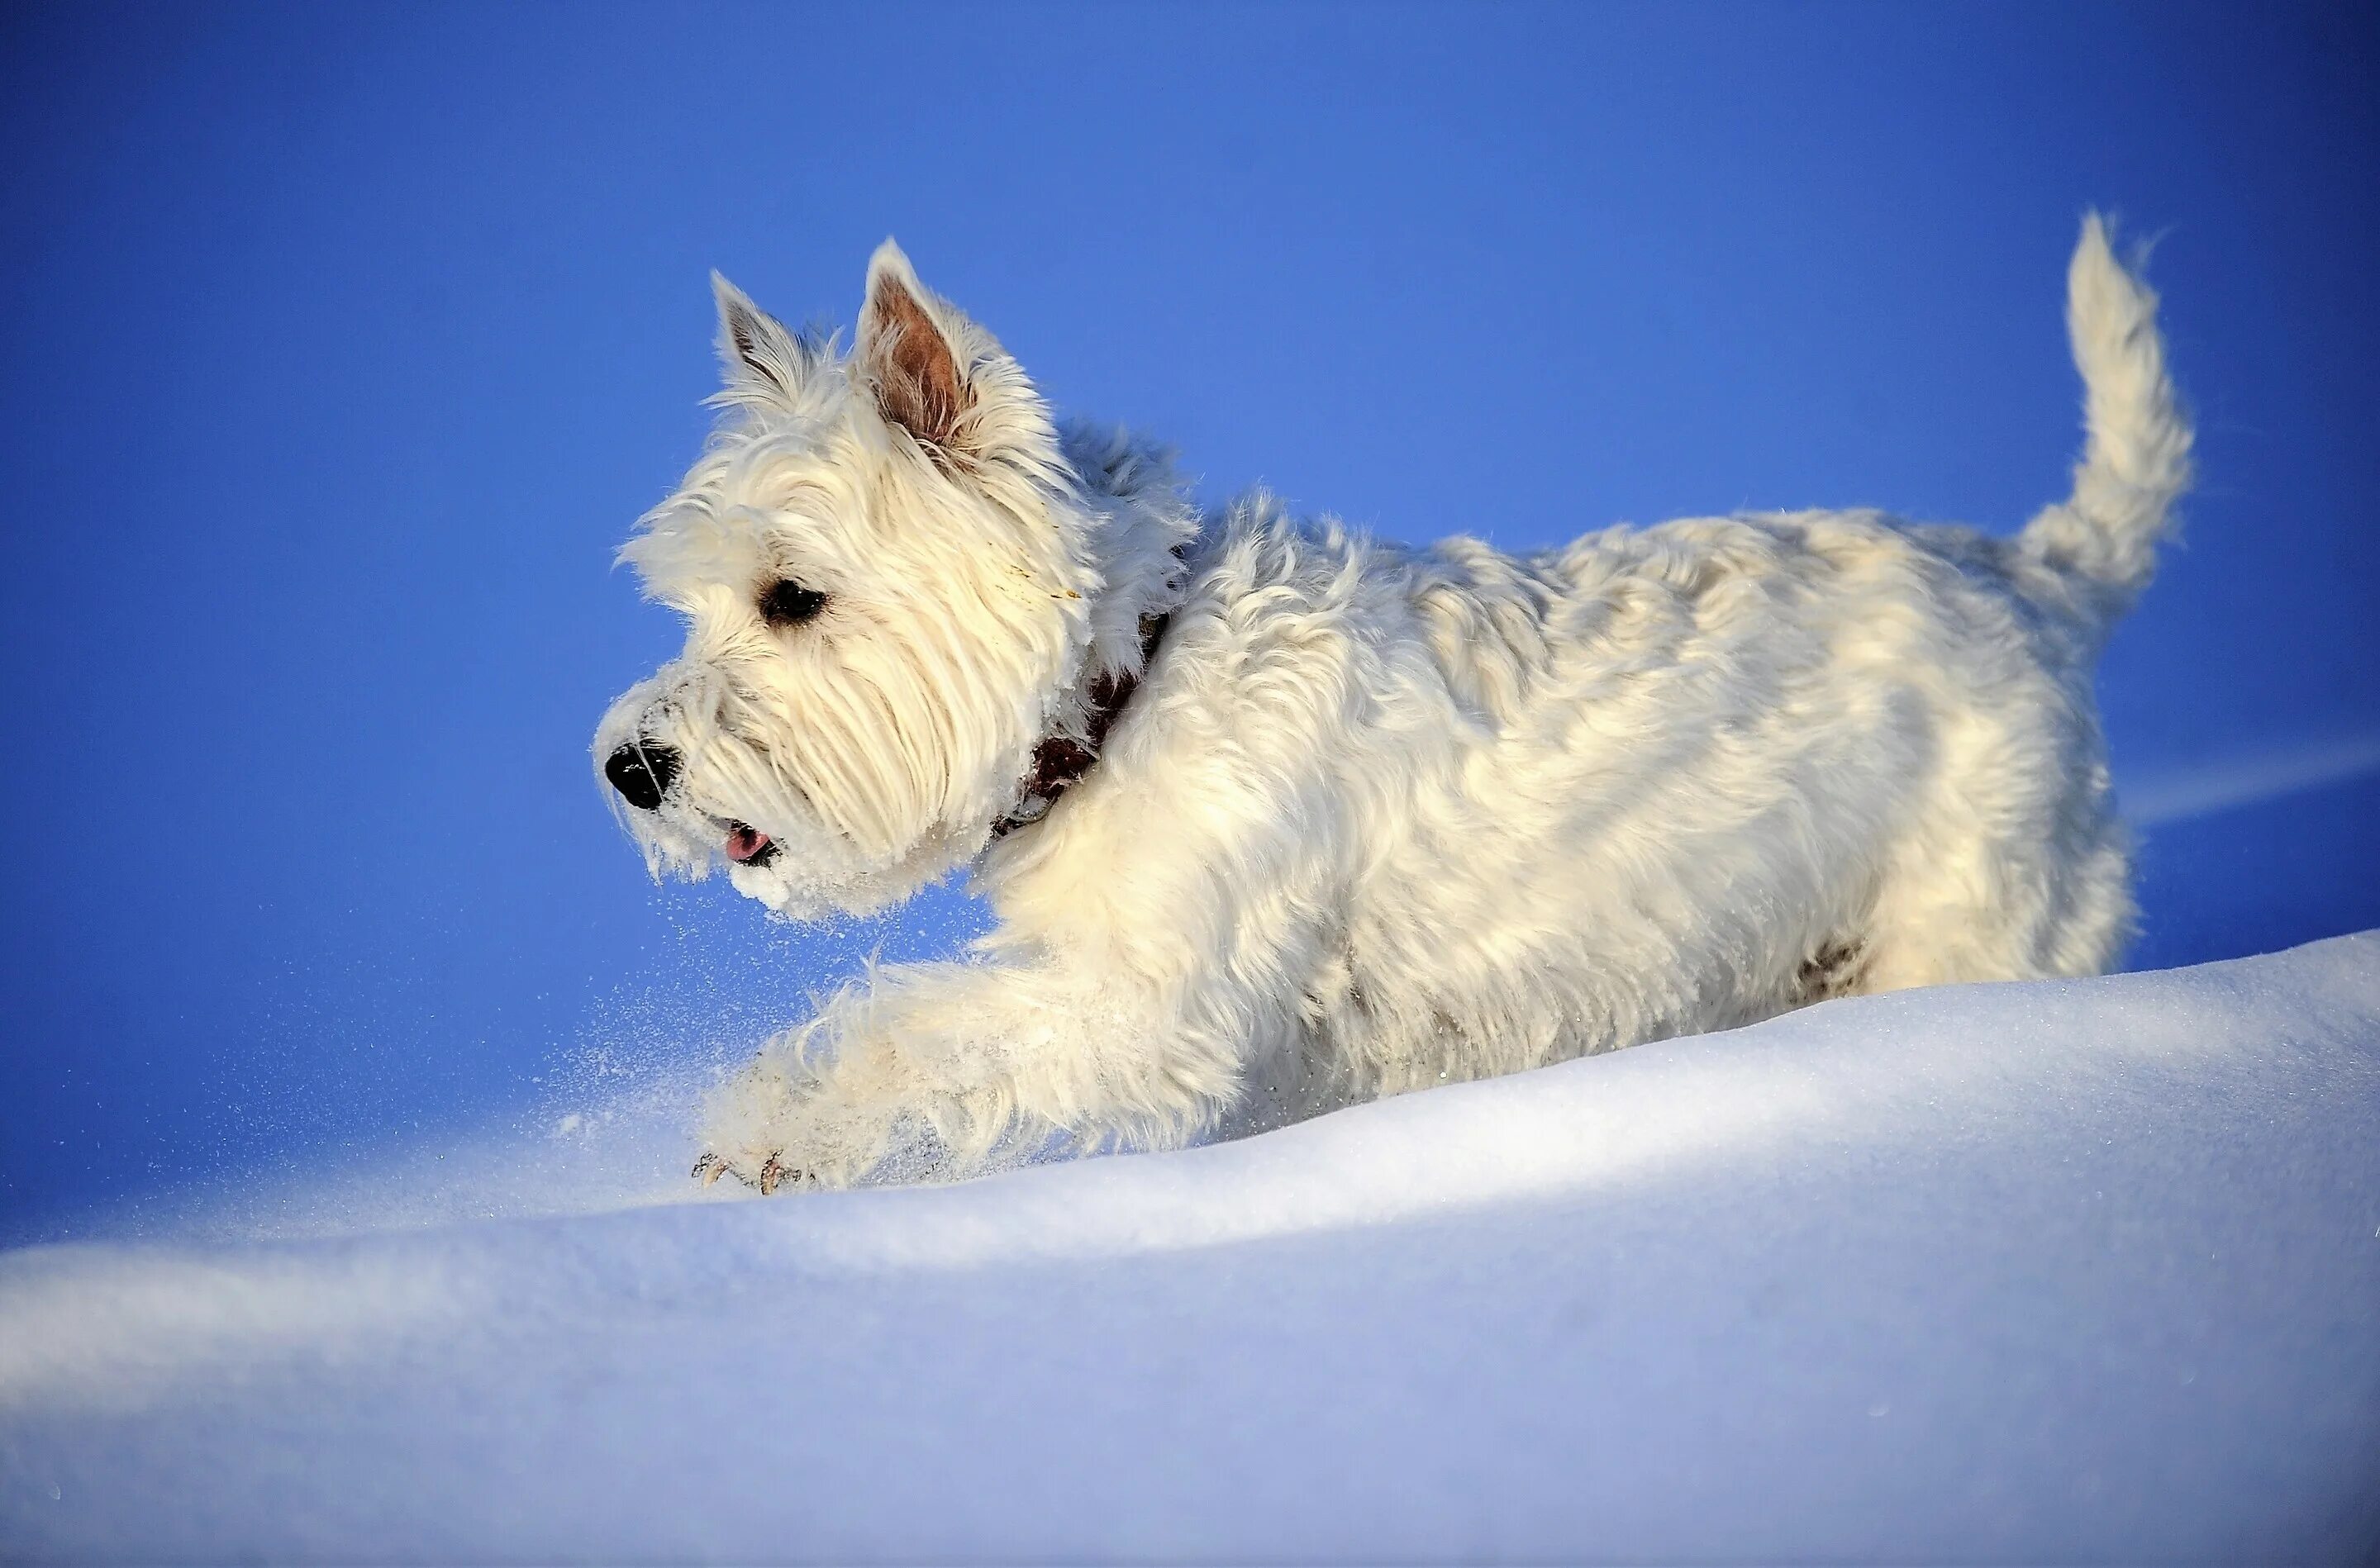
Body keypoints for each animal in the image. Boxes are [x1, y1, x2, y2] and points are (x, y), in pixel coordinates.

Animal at [595, 211, 2189, 1190]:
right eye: (692, 603)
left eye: (790, 596)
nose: (630, 765)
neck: (1129, 684)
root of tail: (2042, 577)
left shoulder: (1151, 1001)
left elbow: (914, 1025)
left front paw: (766, 1132)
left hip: (1976, 913)